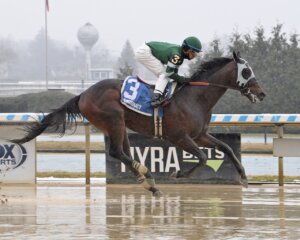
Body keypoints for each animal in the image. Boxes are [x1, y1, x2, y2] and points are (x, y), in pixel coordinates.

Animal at [11, 51, 264, 196]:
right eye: (247, 71)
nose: (261, 94)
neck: (195, 98)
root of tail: (83, 93)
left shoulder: (199, 135)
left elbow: (226, 148)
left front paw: (243, 177)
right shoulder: (180, 137)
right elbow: (202, 157)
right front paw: (177, 174)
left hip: (120, 124)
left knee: (124, 152)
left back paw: (147, 179)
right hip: (113, 119)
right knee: (116, 152)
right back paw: (147, 177)